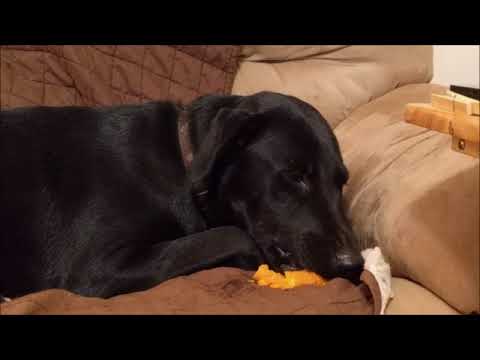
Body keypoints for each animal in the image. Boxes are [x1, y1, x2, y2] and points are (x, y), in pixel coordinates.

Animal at [0, 92, 364, 298]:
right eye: (295, 176)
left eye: (341, 183)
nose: (354, 266)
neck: (183, 160)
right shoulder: (97, 267)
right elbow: (232, 234)